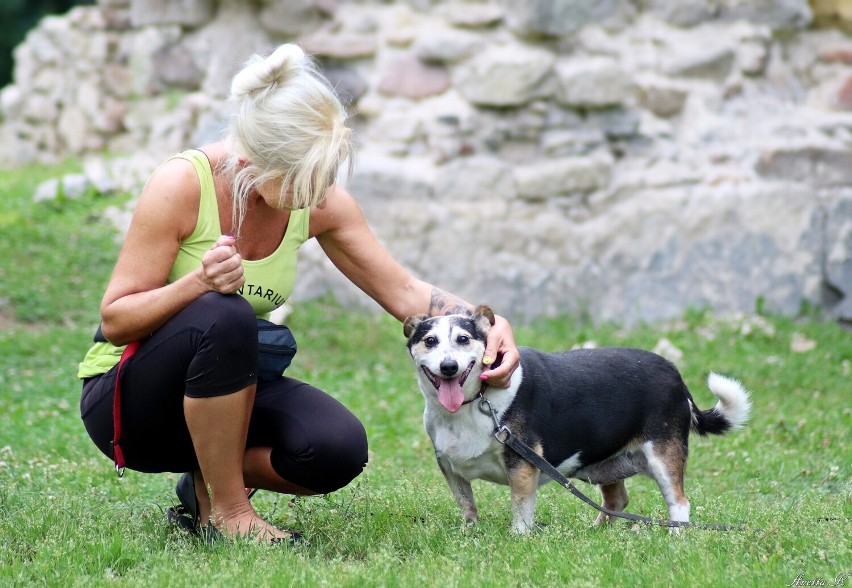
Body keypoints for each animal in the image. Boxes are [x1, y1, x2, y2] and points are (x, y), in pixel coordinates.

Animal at [402, 306, 748, 536]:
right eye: (430, 341)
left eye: (463, 339)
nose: (449, 367)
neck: (475, 402)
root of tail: (676, 374)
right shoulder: (450, 468)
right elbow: (467, 505)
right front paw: (470, 532)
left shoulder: (522, 466)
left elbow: (521, 509)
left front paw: (518, 538)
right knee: (617, 500)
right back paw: (597, 533)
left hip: (663, 456)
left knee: (679, 502)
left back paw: (675, 538)